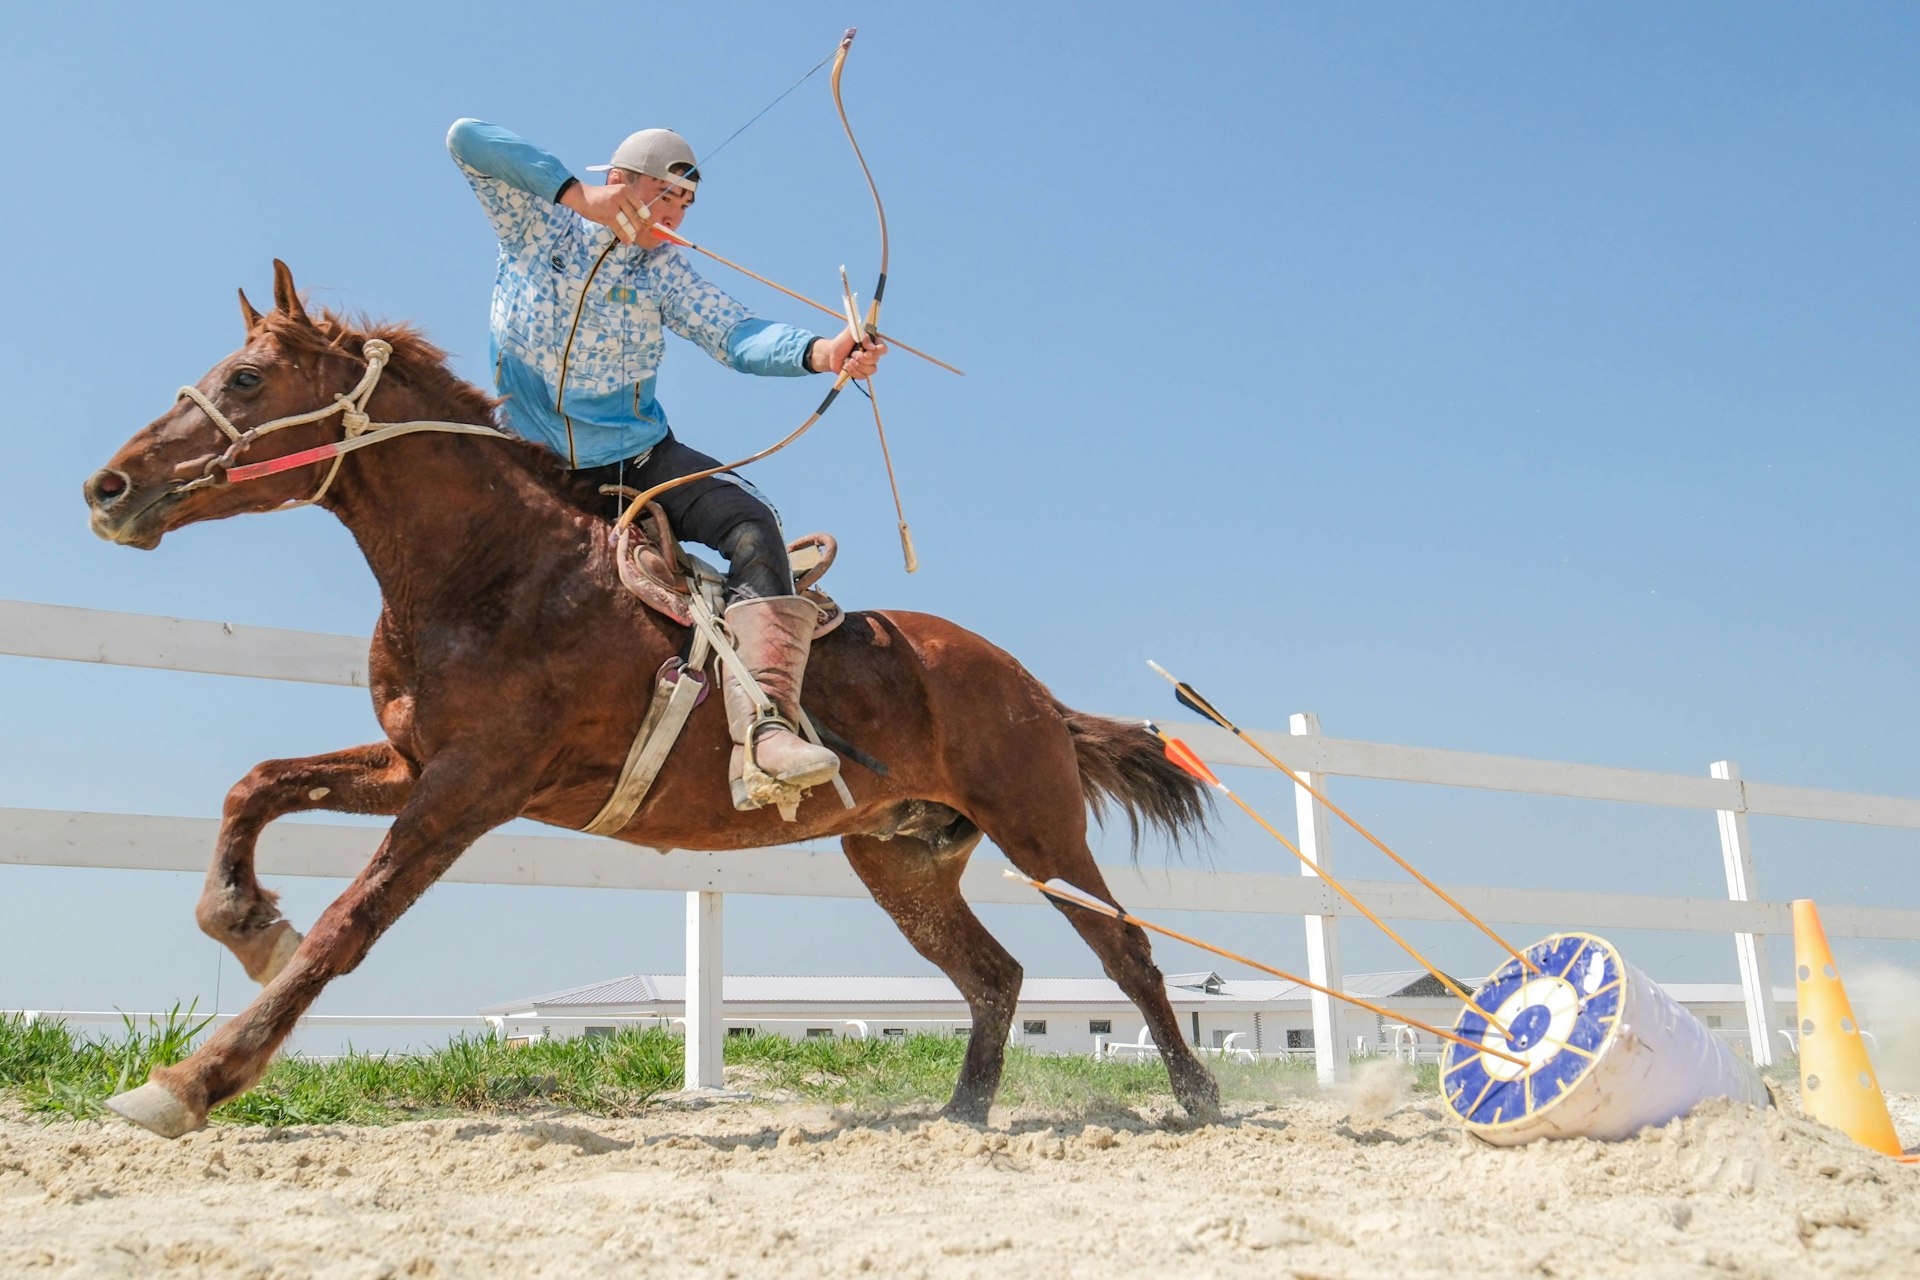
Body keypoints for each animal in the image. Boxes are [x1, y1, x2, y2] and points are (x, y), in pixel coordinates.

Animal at [82, 262, 1213, 1143]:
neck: (498, 571)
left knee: (1126, 950)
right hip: (902, 858)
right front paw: (241, 919)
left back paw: (1199, 1097)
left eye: (245, 377)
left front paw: (192, 1081)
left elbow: (348, 923)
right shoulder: (410, 762)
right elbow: (259, 785)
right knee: (993, 976)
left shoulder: (469, 788)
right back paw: (964, 1114)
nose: (108, 487)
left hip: (1040, 830)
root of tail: (1026, 684)